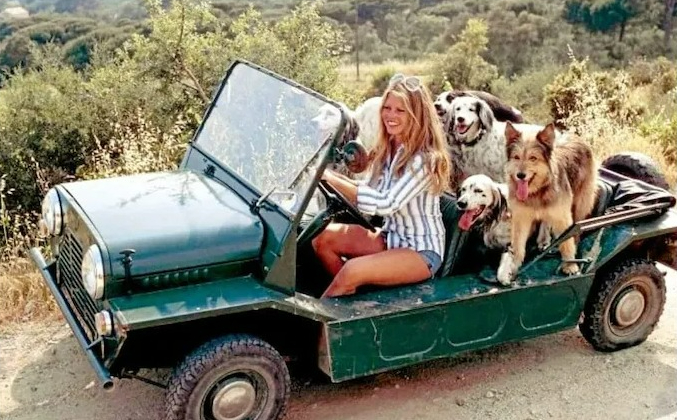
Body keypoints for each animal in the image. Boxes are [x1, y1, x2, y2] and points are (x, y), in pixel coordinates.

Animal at [494, 121, 596, 286]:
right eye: (516, 157)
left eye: (533, 158)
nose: (520, 175)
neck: (537, 192)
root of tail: (575, 136)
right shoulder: (521, 217)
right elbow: (518, 245)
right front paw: (512, 267)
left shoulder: (562, 216)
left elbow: (567, 242)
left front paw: (570, 265)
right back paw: (544, 239)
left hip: (580, 202)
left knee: (577, 226)